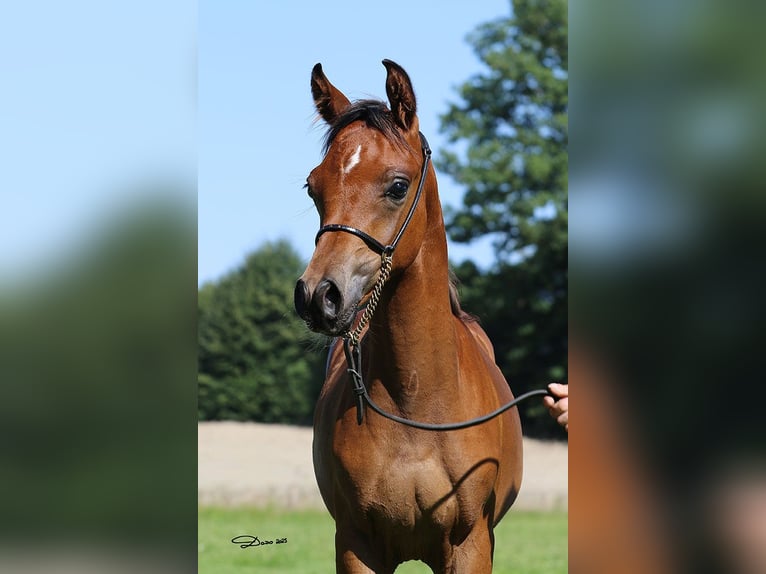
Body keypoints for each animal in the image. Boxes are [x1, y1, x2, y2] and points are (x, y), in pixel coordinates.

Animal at [294, 59, 523, 574]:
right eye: (313, 187)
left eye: (398, 186)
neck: (417, 405)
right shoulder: (356, 544)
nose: (318, 296)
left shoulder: (470, 546)